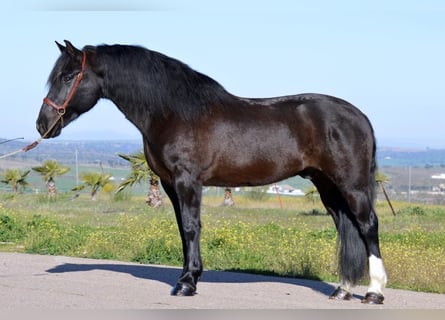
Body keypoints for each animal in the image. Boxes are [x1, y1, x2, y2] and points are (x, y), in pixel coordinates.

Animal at [36, 41, 386, 304]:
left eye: (69, 76)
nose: (42, 124)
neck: (173, 111)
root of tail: (359, 116)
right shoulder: (169, 184)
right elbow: (182, 230)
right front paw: (187, 277)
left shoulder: (187, 180)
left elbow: (192, 228)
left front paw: (187, 284)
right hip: (327, 185)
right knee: (345, 226)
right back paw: (343, 290)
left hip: (351, 185)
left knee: (367, 225)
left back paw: (374, 292)